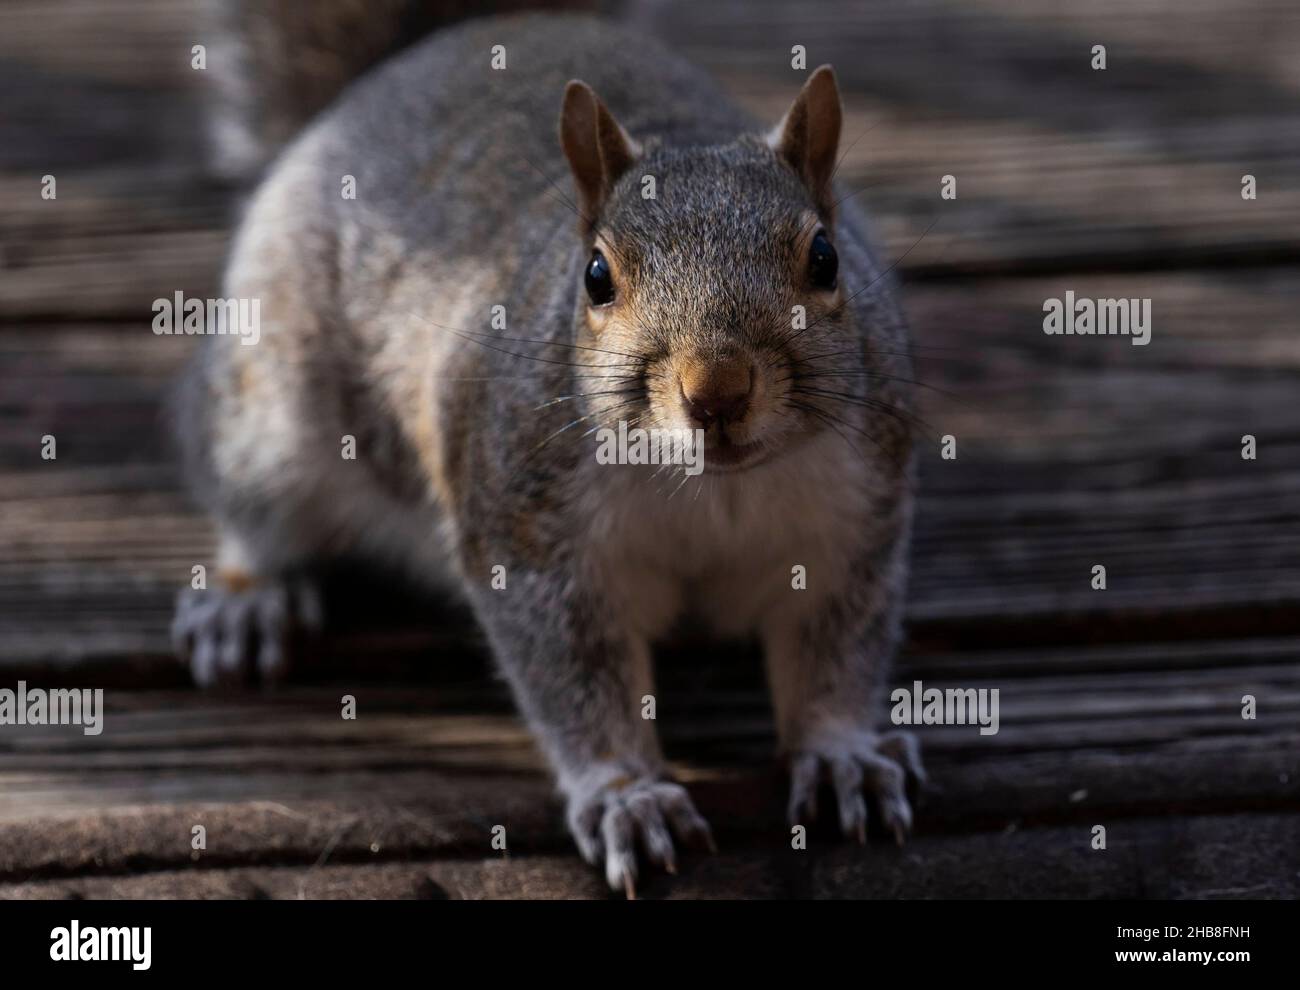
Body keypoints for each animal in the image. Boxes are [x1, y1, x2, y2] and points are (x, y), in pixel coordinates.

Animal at [175, 1, 925, 893]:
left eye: (825, 257)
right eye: (596, 276)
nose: (717, 391)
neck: (712, 489)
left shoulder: (855, 526)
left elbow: (836, 650)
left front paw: (843, 754)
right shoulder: (529, 539)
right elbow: (575, 675)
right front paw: (626, 795)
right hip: (273, 411)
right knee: (256, 502)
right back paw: (246, 598)